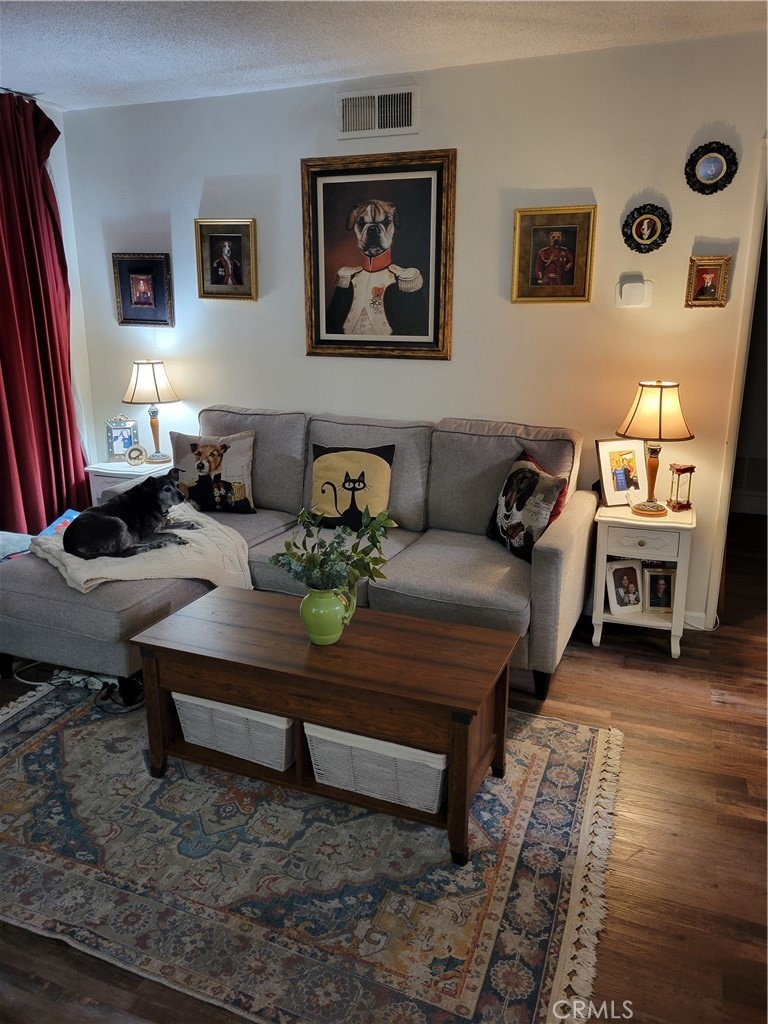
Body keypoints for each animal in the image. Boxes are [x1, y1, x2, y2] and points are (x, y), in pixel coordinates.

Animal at [63, 468, 199, 560]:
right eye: (166, 489)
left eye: (177, 485)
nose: (183, 497)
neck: (152, 500)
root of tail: (67, 543)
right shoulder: (146, 535)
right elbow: (171, 533)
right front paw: (179, 539)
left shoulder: (162, 525)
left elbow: (178, 523)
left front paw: (191, 525)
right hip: (117, 522)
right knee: (121, 553)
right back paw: (150, 546)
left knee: (129, 546)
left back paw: (154, 545)